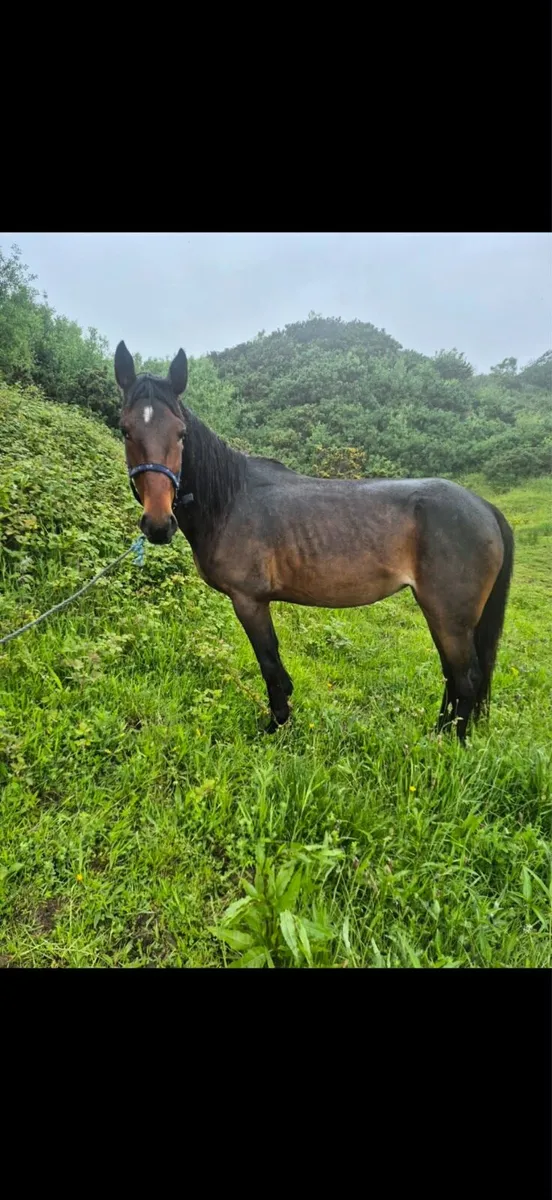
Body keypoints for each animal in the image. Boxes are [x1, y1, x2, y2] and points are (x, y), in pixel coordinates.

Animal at [114, 341, 514, 740]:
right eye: (126, 431)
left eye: (181, 434)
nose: (158, 524)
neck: (230, 500)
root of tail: (484, 507)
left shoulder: (249, 601)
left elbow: (270, 664)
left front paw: (276, 724)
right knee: (453, 676)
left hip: (449, 616)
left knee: (465, 678)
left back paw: (447, 743)